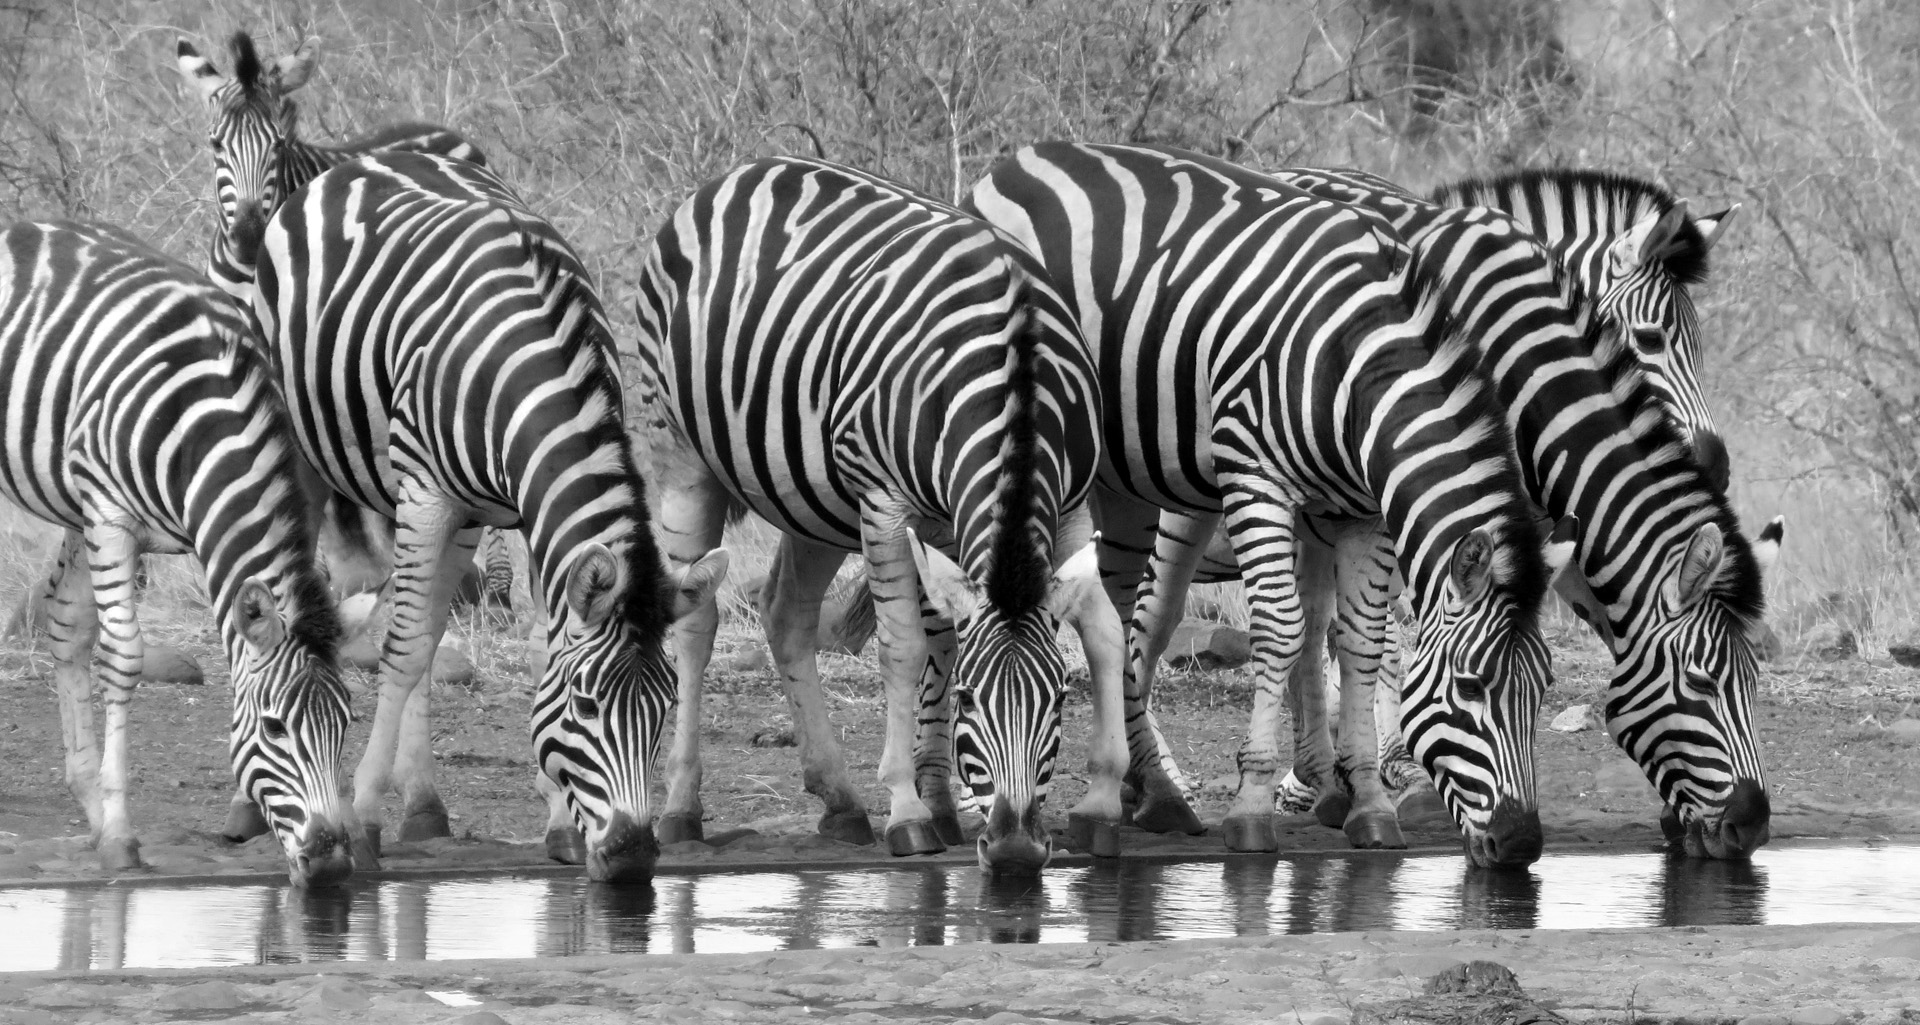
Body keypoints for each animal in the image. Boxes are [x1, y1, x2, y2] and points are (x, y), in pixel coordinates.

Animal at [0, 220, 352, 886]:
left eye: (347, 724)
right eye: (274, 727)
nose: (329, 865)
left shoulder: (129, 519)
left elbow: (76, 631)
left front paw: (100, 810)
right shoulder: (110, 517)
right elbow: (124, 658)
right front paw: (118, 835)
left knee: (63, 623)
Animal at [248, 150, 728, 881]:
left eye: (664, 704)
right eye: (588, 704)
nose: (630, 856)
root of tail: (376, 157)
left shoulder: (528, 506)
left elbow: (534, 643)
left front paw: (559, 821)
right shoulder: (427, 496)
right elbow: (404, 649)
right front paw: (360, 818)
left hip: (454, 509)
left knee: (425, 621)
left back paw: (424, 805)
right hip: (317, 443)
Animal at [632, 155, 1129, 874]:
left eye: (1061, 697)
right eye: (972, 699)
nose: (1012, 851)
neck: (1015, 372)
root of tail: (741, 171)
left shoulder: (1064, 505)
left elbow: (1100, 633)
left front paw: (1099, 802)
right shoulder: (886, 502)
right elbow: (905, 647)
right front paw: (909, 811)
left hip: (811, 497)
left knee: (787, 614)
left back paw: (839, 799)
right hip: (683, 455)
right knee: (697, 620)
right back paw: (680, 807)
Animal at [968, 142, 1570, 865]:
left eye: (1543, 687)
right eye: (1473, 686)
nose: (1522, 843)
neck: (1352, 363)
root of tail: (1017, 160)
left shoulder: (1362, 511)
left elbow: (1361, 642)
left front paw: (1369, 803)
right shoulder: (1256, 476)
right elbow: (1283, 630)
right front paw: (1254, 806)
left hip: (1124, 481)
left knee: (1120, 615)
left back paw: (1140, 792)